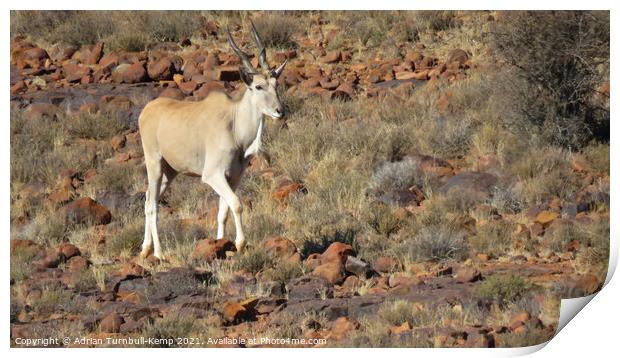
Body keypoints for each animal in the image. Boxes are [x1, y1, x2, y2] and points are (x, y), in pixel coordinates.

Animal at [137, 22, 286, 258]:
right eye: (258, 86)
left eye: (275, 84)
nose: (280, 111)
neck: (234, 125)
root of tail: (146, 111)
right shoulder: (213, 175)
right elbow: (236, 204)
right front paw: (240, 243)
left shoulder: (233, 177)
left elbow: (223, 211)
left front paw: (222, 244)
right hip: (155, 164)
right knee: (152, 205)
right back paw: (159, 253)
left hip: (170, 172)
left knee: (147, 199)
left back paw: (145, 249)